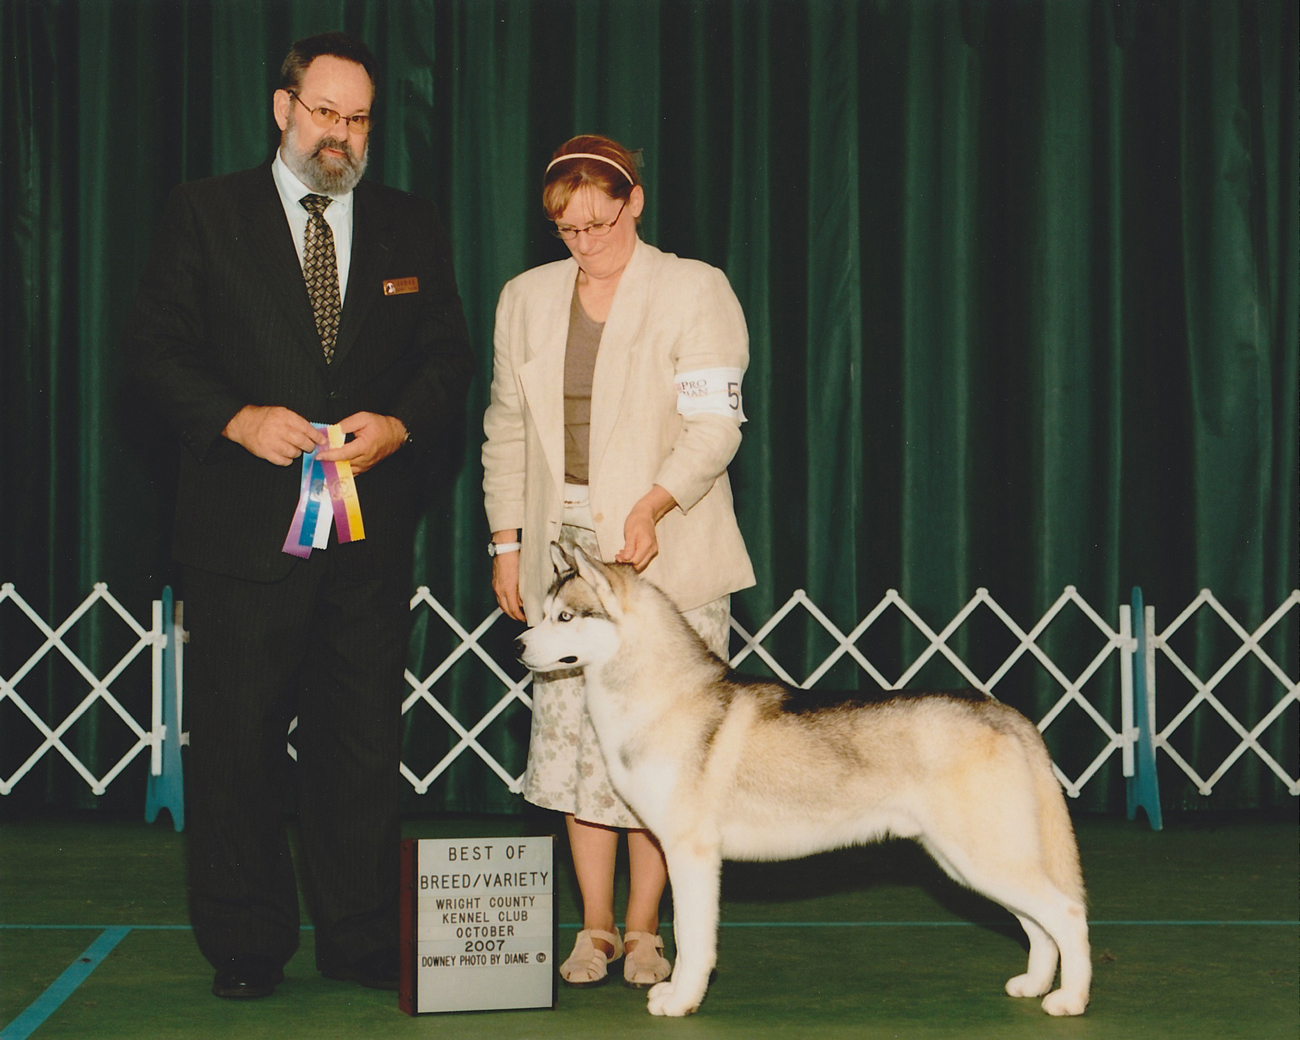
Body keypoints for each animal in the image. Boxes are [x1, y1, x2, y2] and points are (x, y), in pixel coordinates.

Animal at [516, 544, 1091, 1018]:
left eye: (564, 616)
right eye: (541, 614)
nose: (518, 644)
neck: (662, 697)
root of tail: (1004, 711)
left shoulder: (691, 853)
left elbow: (692, 938)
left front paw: (682, 1001)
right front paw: (677, 992)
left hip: (983, 856)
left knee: (1065, 912)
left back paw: (1070, 999)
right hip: (967, 861)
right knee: (1038, 924)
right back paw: (1034, 985)